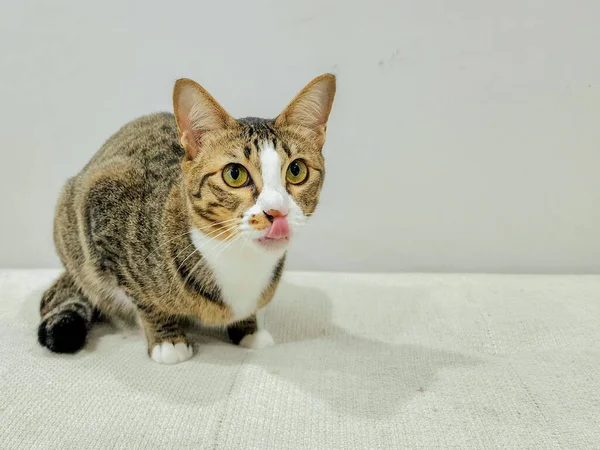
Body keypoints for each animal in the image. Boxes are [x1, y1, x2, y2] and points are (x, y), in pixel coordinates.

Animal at [38, 74, 338, 362]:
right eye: (235, 174)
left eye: (296, 170)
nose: (277, 211)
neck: (239, 257)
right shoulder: (103, 209)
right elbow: (142, 298)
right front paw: (167, 340)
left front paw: (249, 328)